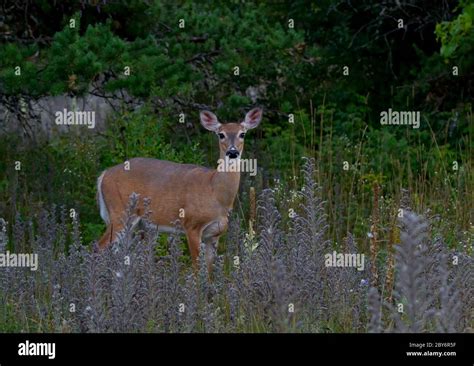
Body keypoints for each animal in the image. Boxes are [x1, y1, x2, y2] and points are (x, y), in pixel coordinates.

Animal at [94, 107, 262, 270]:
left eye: (242, 133)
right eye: (221, 134)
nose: (232, 152)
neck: (215, 192)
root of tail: (103, 174)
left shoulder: (214, 234)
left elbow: (209, 271)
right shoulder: (192, 225)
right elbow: (197, 269)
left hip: (136, 225)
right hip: (120, 212)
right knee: (100, 246)